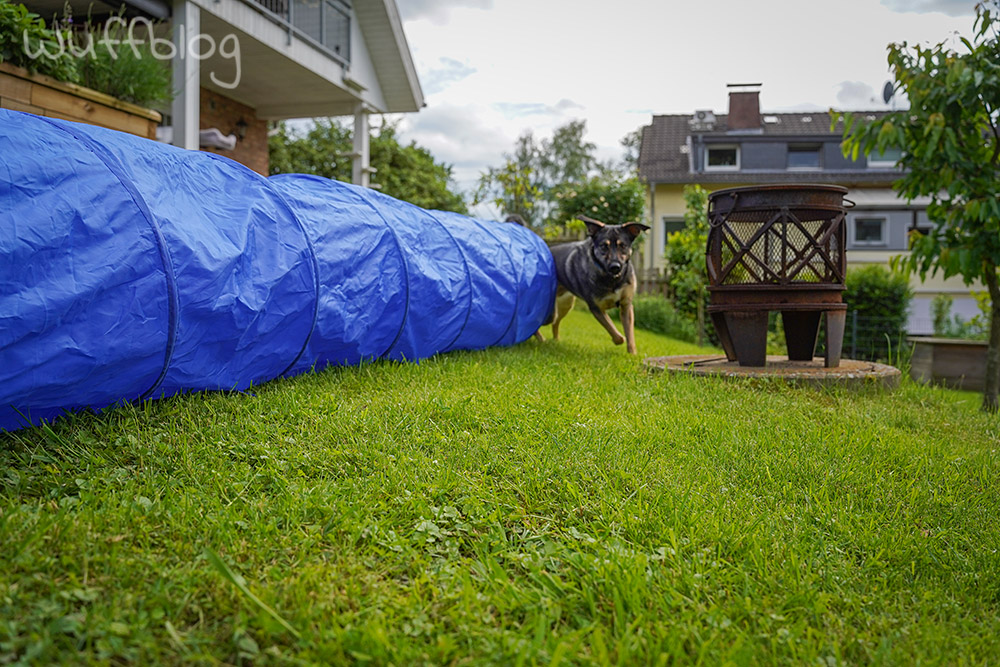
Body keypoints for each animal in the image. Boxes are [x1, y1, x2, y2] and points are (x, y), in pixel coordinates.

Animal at [536, 217, 652, 358]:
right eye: (604, 246)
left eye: (623, 246)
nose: (615, 267)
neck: (612, 279)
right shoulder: (596, 308)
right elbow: (617, 333)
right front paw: (618, 339)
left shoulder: (626, 305)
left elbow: (629, 334)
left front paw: (633, 355)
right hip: (549, 312)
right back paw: (540, 339)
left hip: (565, 304)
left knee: (555, 323)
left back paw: (555, 341)